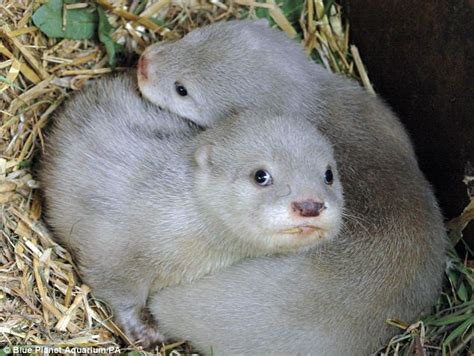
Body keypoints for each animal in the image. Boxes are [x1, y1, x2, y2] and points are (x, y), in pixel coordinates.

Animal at [39, 74, 344, 348]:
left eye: (328, 175)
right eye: (261, 176)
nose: (310, 205)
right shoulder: (109, 249)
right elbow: (118, 292)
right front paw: (142, 331)